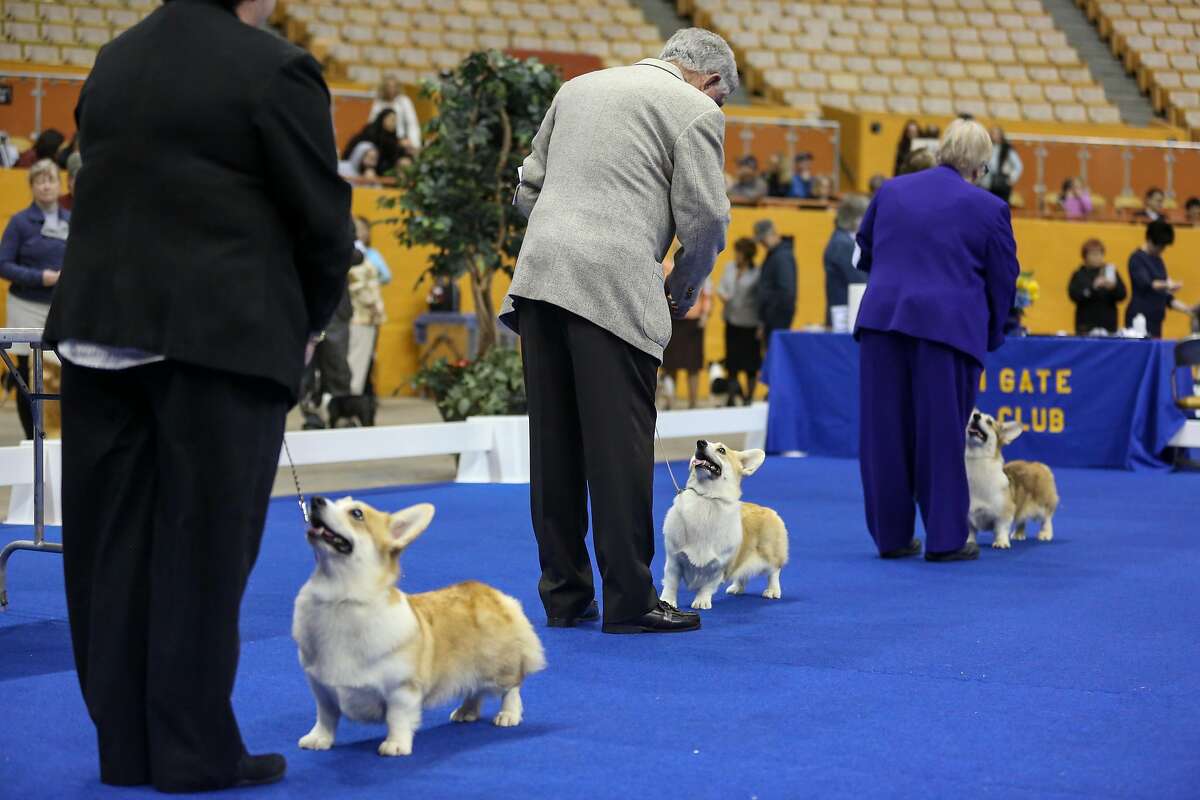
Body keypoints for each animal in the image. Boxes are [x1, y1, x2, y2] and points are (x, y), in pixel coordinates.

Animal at [292, 494, 547, 758]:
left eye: (357, 513)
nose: (316, 500)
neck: (340, 597)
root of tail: (495, 594)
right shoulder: (322, 688)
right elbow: (326, 717)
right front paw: (318, 739)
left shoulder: (401, 690)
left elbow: (397, 718)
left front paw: (395, 745)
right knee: (474, 690)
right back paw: (466, 712)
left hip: (498, 666)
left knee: (512, 688)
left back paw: (508, 715)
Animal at [657, 441, 787, 609]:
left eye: (721, 450)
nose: (700, 442)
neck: (706, 497)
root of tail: (769, 510)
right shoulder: (674, 560)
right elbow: (671, 584)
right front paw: (667, 602)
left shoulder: (719, 567)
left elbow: (707, 586)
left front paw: (701, 601)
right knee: (742, 574)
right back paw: (736, 588)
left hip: (770, 554)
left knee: (774, 572)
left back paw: (772, 591)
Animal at [964, 412, 1060, 551]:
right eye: (971, 416)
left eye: (989, 422)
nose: (976, 415)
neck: (977, 462)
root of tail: (1040, 465)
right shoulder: (968, 515)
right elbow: (971, 531)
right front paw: (969, 543)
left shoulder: (1004, 513)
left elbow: (1001, 529)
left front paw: (1001, 543)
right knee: (1022, 519)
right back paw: (1018, 534)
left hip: (1043, 503)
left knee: (1047, 519)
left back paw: (1045, 534)